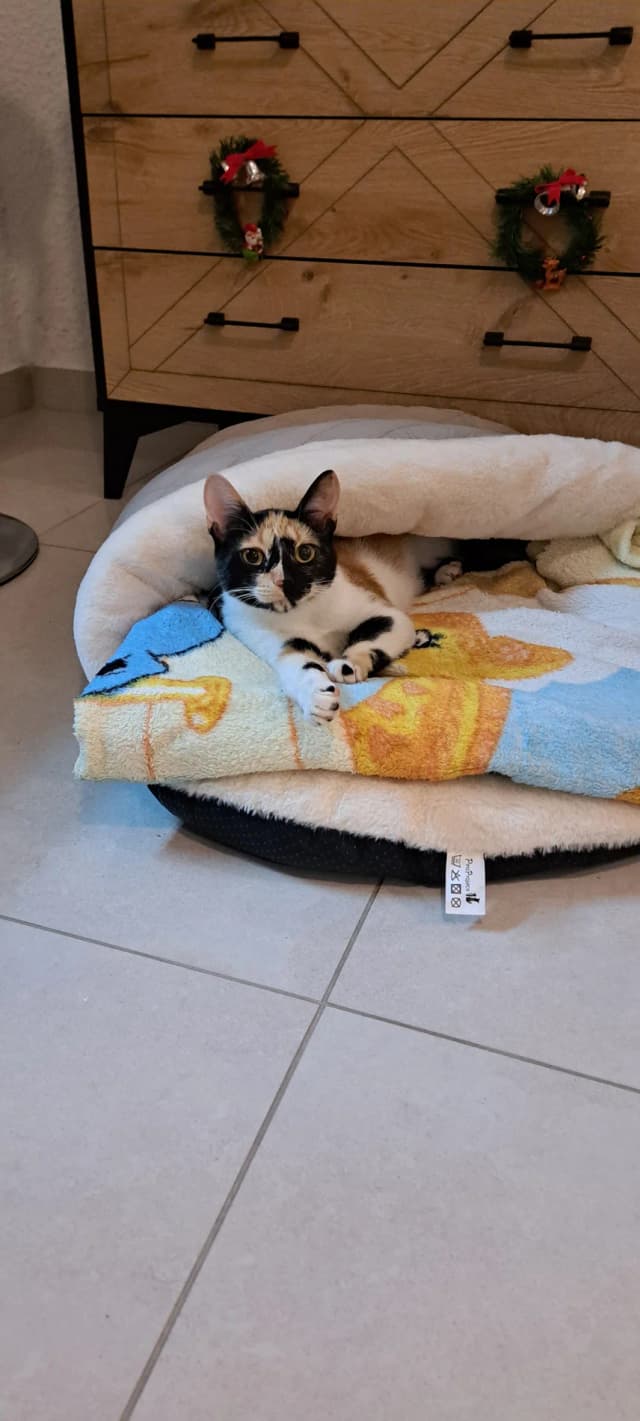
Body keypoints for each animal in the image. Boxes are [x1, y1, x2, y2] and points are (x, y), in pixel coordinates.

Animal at [204, 469, 525, 725]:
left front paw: (351, 663)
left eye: (305, 552)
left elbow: (378, 631)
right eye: (253, 556)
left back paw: (449, 571)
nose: (286, 582)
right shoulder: (270, 637)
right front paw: (315, 695)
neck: (304, 613)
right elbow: (296, 663)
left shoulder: (380, 607)